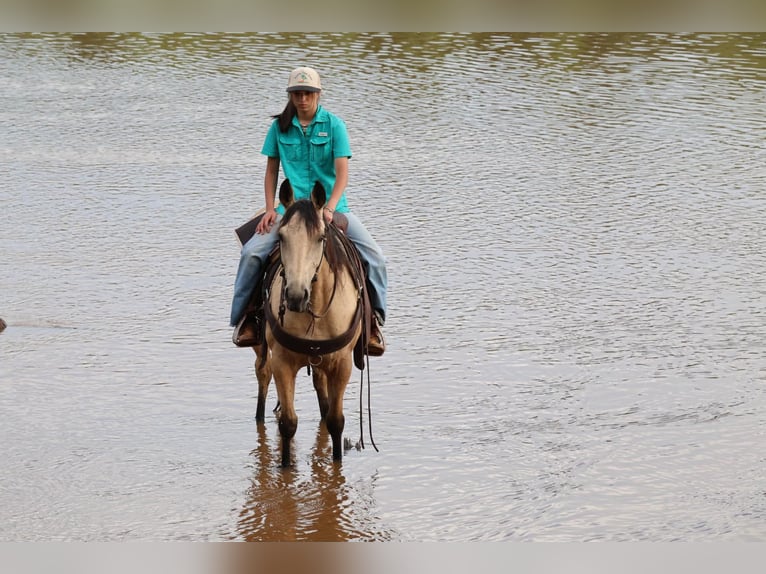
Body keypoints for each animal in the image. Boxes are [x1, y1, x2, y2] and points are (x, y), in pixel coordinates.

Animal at [252, 181, 365, 467]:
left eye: (320, 238)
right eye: (281, 237)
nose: (295, 296)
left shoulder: (342, 363)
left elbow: (336, 422)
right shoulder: (283, 362)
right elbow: (288, 423)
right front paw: (285, 468)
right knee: (262, 372)